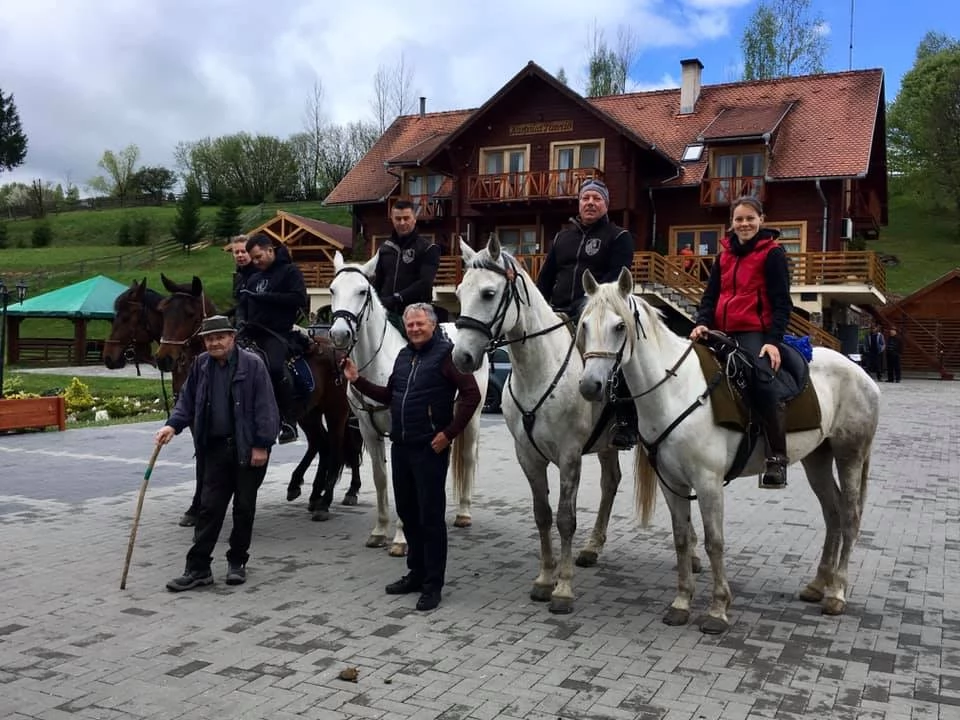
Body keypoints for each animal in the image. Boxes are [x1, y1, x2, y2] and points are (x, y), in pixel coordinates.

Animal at [154, 272, 364, 516]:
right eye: (163, 311)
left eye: (189, 313)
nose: (164, 358)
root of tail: (338, 351)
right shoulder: (199, 426)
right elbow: (202, 466)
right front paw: (195, 508)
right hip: (308, 413)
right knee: (320, 444)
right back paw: (308, 491)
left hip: (336, 411)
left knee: (336, 447)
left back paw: (325, 501)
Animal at [328, 253, 488, 556]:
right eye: (332, 290)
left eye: (362, 291)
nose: (340, 333)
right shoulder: (368, 429)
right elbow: (380, 479)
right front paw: (379, 531)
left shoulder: (400, 433)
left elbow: (403, 480)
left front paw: (402, 539)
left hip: (471, 416)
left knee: (468, 457)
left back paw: (463, 513)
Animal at [454, 236, 656, 612]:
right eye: (459, 292)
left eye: (488, 293)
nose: (462, 357)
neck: (540, 371)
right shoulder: (528, 455)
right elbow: (543, 515)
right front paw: (545, 579)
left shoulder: (569, 455)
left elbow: (565, 518)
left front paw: (562, 589)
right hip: (605, 446)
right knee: (611, 482)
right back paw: (592, 547)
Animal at [572, 268, 880, 632]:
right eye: (584, 325)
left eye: (620, 326)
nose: (590, 386)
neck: (675, 389)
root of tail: (862, 373)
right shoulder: (671, 483)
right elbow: (681, 539)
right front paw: (681, 603)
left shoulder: (708, 483)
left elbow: (714, 542)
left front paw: (718, 609)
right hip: (817, 459)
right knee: (832, 514)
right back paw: (818, 585)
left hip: (849, 456)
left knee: (849, 516)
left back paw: (836, 593)